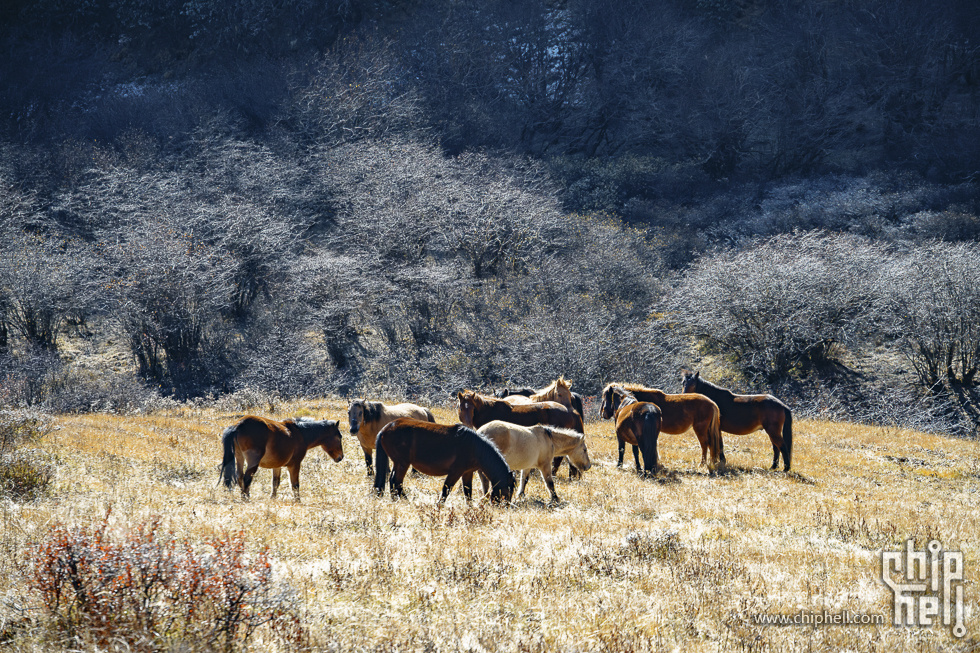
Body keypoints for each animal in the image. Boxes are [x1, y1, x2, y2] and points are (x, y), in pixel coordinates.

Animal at [372, 418, 516, 504]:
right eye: (509, 490)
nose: (505, 506)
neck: (475, 447)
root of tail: (385, 428)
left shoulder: (467, 473)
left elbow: (468, 492)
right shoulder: (455, 472)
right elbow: (446, 490)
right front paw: (439, 506)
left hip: (398, 463)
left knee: (393, 481)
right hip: (403, 463)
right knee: (396, 481)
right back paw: (405, 500)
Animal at [596, 382, 728, 468]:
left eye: (605, 397)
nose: (603, 414)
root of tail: (712, 403)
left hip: (700, 429)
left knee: (705, 444)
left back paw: (703, 463)